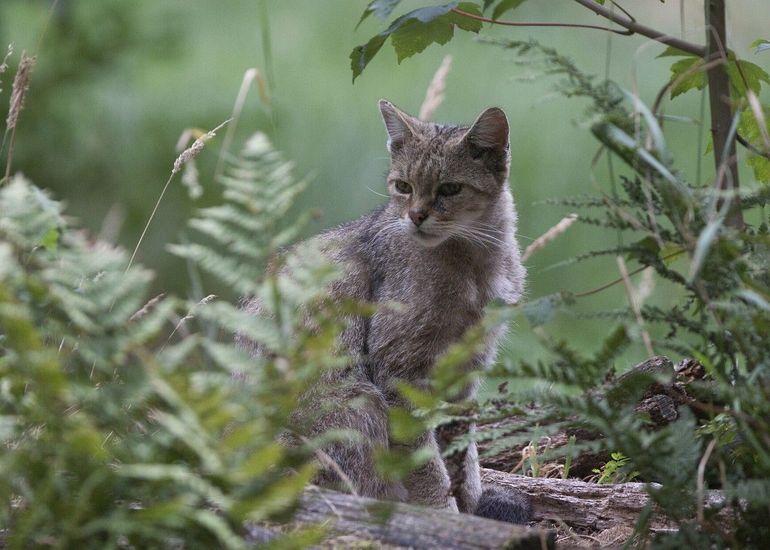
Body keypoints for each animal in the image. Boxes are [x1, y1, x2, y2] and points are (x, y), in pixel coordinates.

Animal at [242, 100, 528, 528]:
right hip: (358, 401)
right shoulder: (399, 374)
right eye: (403, 186)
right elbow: (426, 463)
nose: (416, 216)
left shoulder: (465, 371)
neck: (474, 261)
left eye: (449, 188)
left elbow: (464, 454)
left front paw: (472, 507)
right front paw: (442, 516)